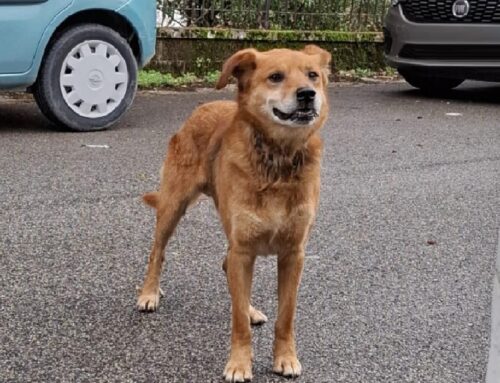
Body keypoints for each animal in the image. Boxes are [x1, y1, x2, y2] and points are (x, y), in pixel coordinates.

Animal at [137, 46, 332, 382]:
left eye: (312, 75)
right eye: (275, 76)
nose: (308, 94)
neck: (276, 161)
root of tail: (204, 107)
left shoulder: (293, 254)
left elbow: (286, 316)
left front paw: (285, 357)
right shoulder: (242, 248)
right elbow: (238, 321)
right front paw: (239, 363)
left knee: (228, 270)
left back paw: (251, 309)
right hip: (173, 207)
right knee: (157, 253)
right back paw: (149, 293)